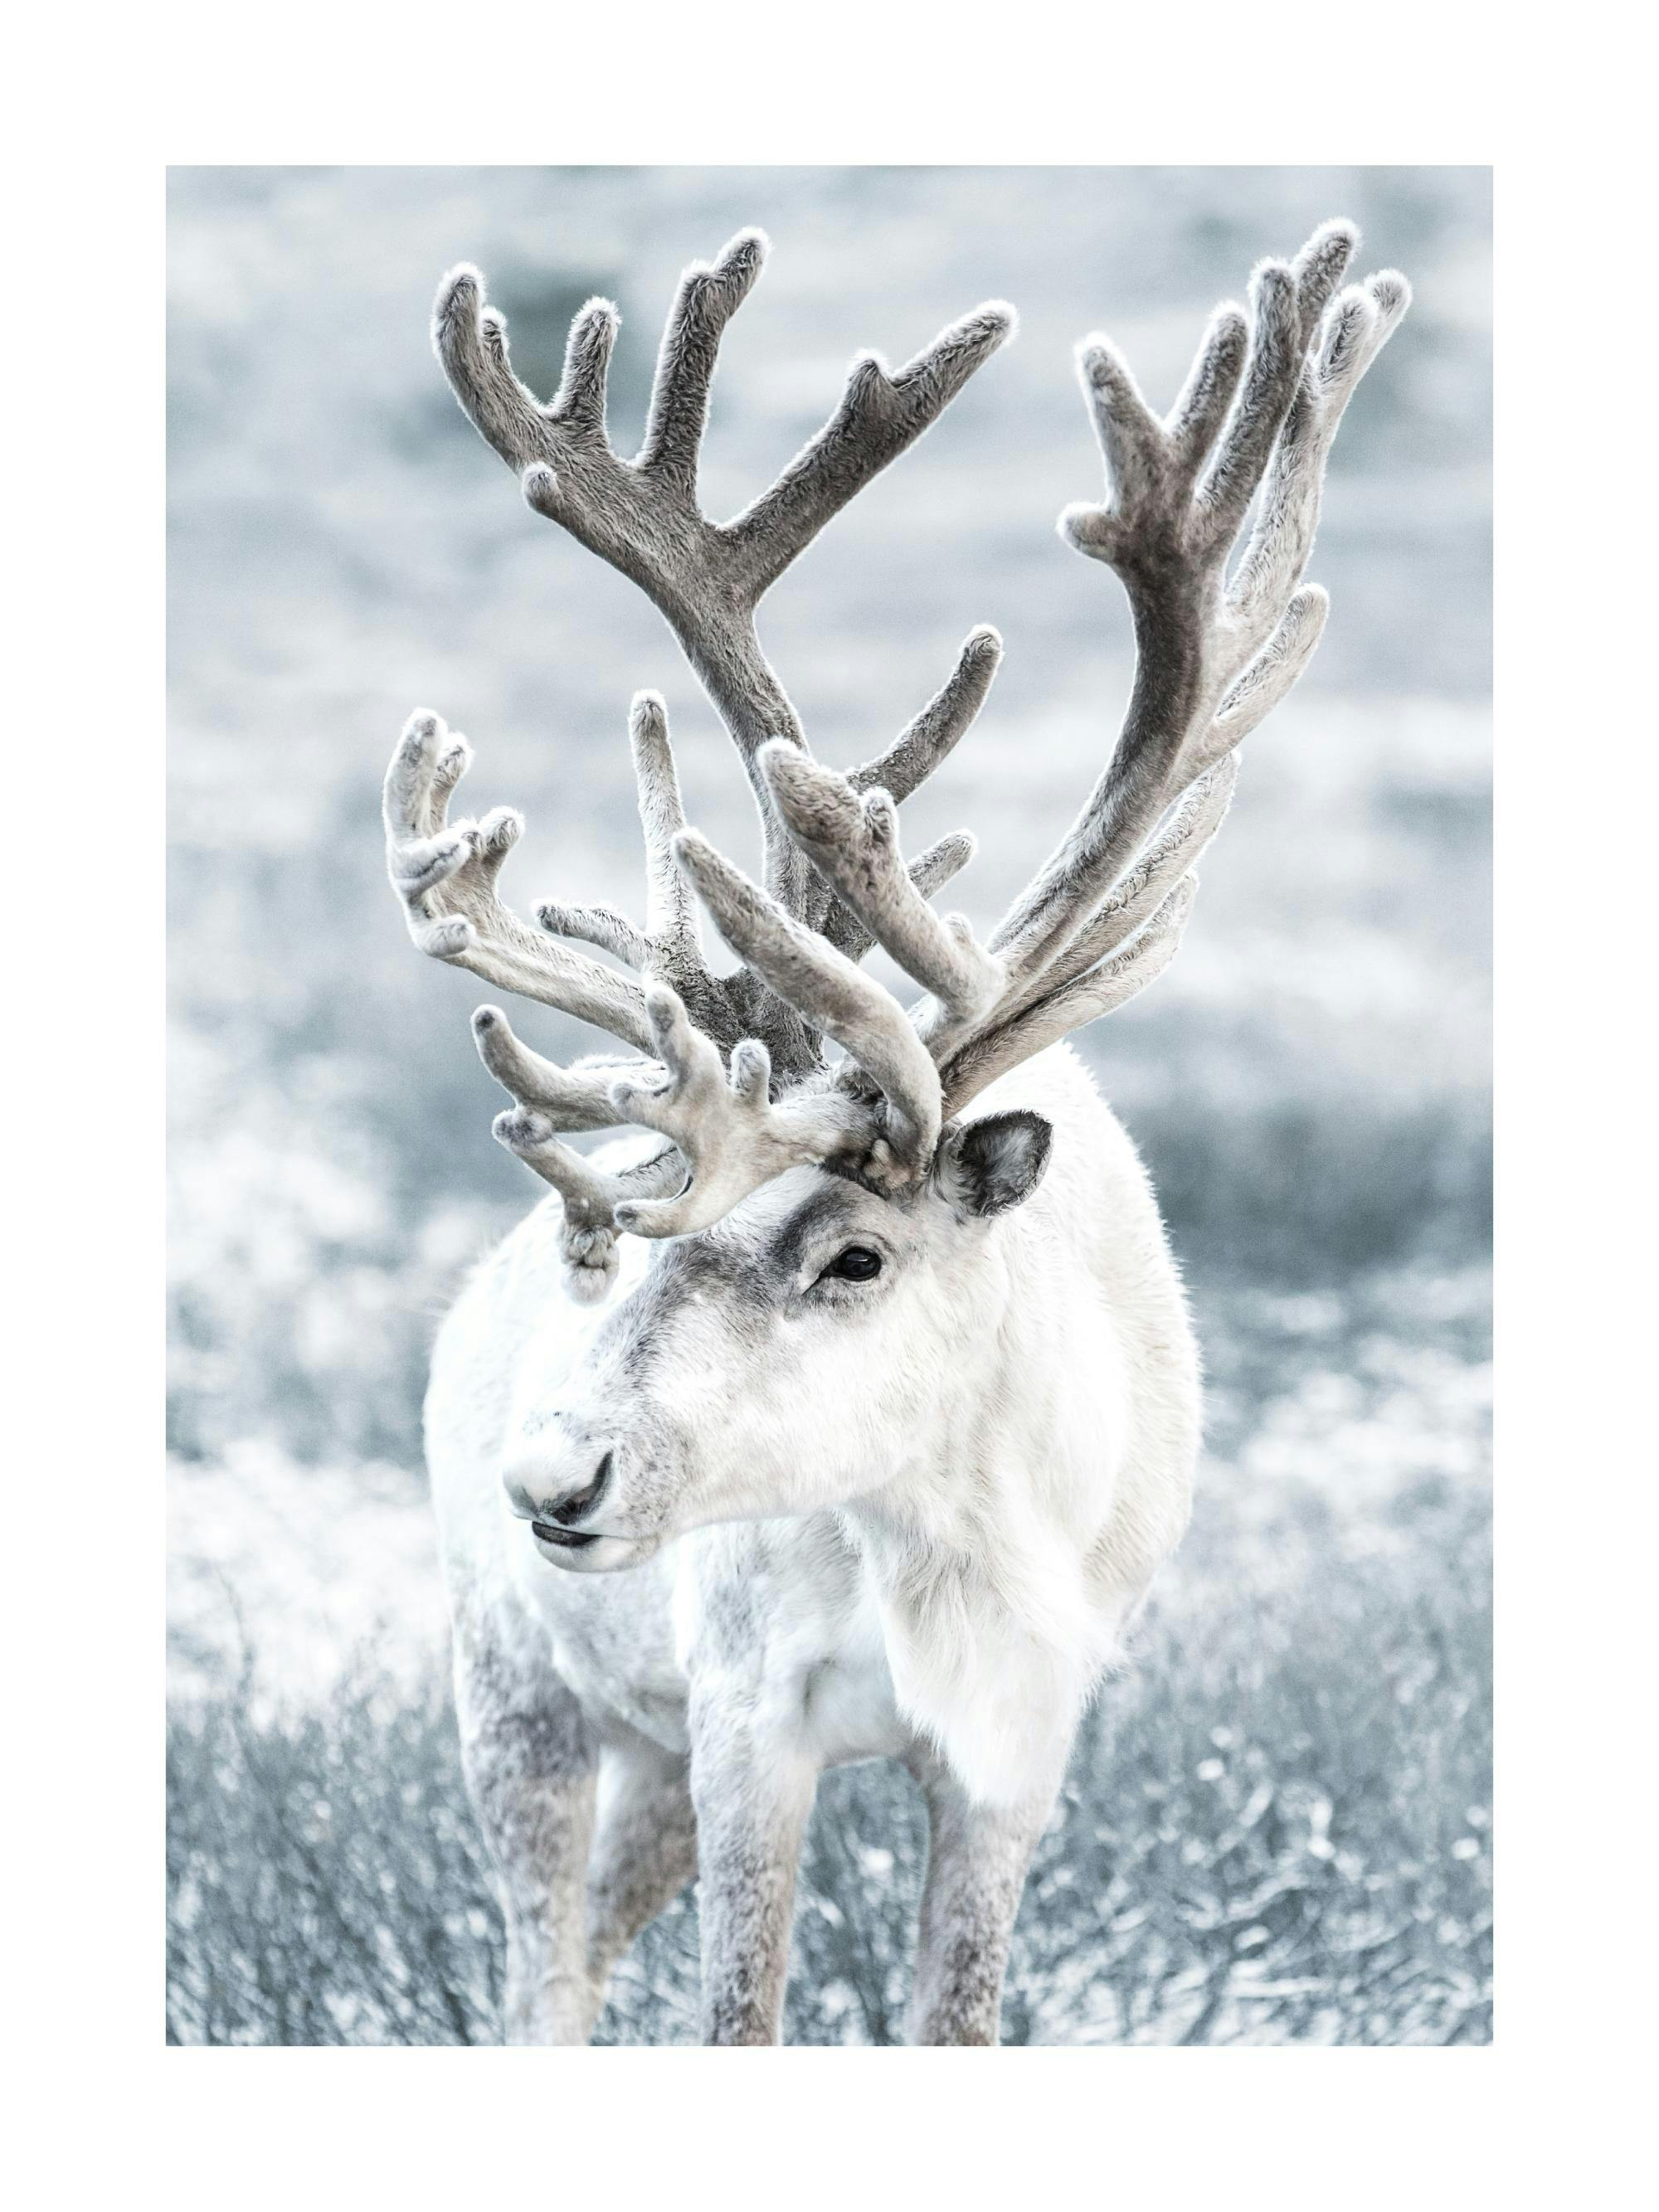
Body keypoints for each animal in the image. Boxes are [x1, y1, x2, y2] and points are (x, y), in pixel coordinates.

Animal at [383, 213, 1409, 2045]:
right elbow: (738, 2015)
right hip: (517, 1682)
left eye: (856, 1252)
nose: (555, 1472)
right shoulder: (742, 1714)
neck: (952, 1543)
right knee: (540, 1978)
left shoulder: (1020, 1749)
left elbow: (957, 2014)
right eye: (644, 1230)